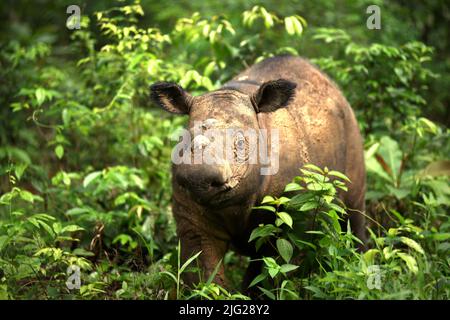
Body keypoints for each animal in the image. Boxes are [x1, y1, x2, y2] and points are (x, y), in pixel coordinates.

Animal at [150, 55, 366, 290]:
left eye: (241, 144)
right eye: (183, 142)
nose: (199, 179)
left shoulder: (293, 216)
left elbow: (272, 271)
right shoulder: (192, 219)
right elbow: (205, 274)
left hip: (351, 129)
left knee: (353, 209)